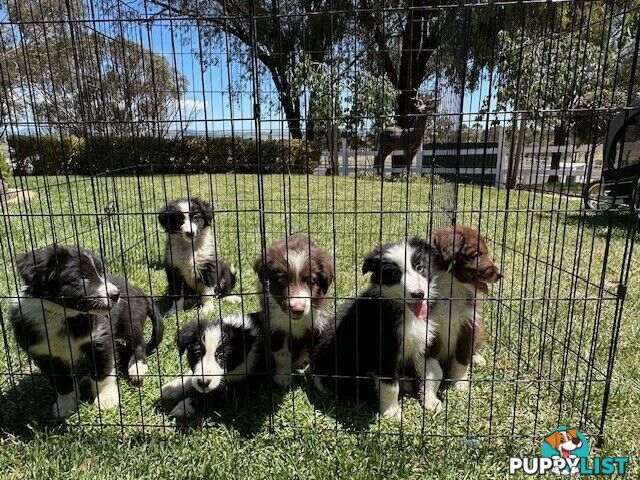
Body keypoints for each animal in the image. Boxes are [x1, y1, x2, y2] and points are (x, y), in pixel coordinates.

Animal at [10, 246, 164, 418]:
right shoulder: (45, 353)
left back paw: (137, 368)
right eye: (82, 278)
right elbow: (62, 382)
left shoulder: (100, 339)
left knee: (138, 344)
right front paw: (66, 406)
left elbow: (103, 372)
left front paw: (106, 400)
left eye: (101, 271)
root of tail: (138, 291)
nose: (115, 295)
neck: (63, 315)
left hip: (130, 320)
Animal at [252, 234, 336, 388]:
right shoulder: (275, 325)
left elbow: (316, 351)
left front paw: (317, 380)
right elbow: (282, 354)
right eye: (283, 279)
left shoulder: (316, 324)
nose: (297, 310)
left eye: (311, 281)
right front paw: (283, 377)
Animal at [312, 238, 440, 422]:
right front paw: (393, 413)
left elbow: (434, 370)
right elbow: (390, 385)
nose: (418, 294)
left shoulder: (422, 341)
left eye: (420, 267)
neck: (406, 311)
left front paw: (431, 400)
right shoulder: (382, 350)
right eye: (394, 274)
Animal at [422, 225, 502, 404]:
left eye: (487, 252)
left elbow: (462, 358)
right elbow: (434, 371)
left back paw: (477, 358)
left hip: (480, 330)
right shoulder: (429, 333)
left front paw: (460, 383)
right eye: (476, 254)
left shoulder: (469, 325)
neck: (453, 289)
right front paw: (430, 399)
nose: (500, 275)